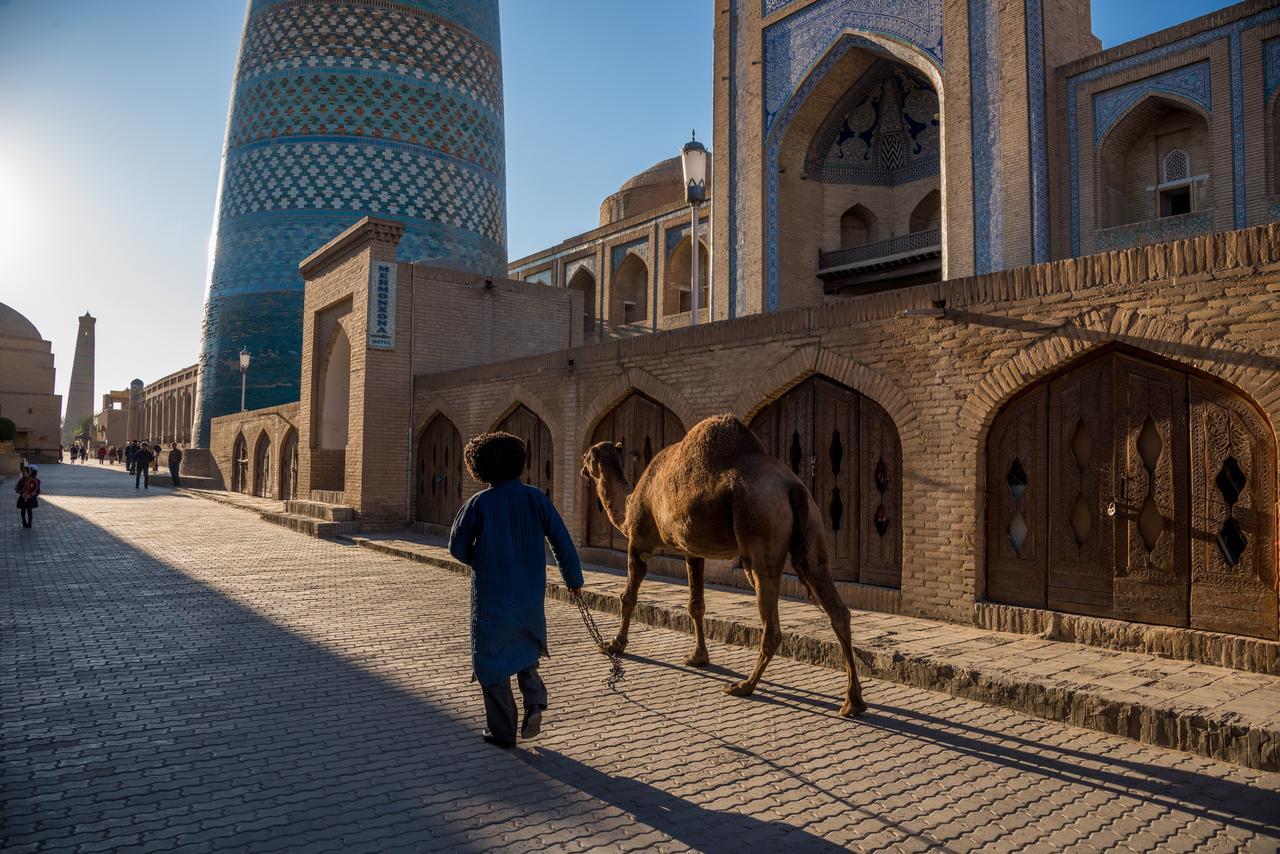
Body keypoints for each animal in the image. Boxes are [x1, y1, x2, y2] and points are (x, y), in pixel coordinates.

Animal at [583, 412, 870, 717]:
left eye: (588, 456)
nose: (581, 466)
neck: (629, 504)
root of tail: (793, 488)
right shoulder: (692, 550)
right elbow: (696, 605)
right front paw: (698, 657)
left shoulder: (638, 542)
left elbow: (628, 597)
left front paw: (614, 645)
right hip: (814, 531)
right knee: (837, 609)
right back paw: (853, 702)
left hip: (760, 530)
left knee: (771, 623)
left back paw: (744, 686)